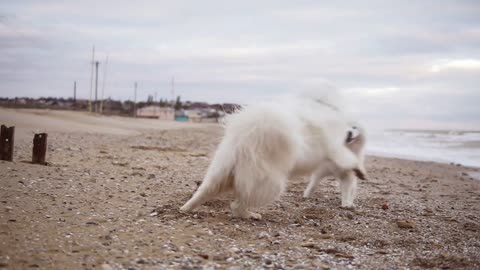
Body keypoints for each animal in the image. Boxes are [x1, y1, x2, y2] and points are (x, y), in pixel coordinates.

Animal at [181, 85, 368, 218]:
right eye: (351, 127)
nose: (350, 133)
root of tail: (243, 141)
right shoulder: (335, 147)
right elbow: (349, 159)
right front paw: (360, 171)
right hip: (272, 185)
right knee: (237, 205)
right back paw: (250, 215)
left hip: (219, 173)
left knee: (206, 193)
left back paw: (186, 208)